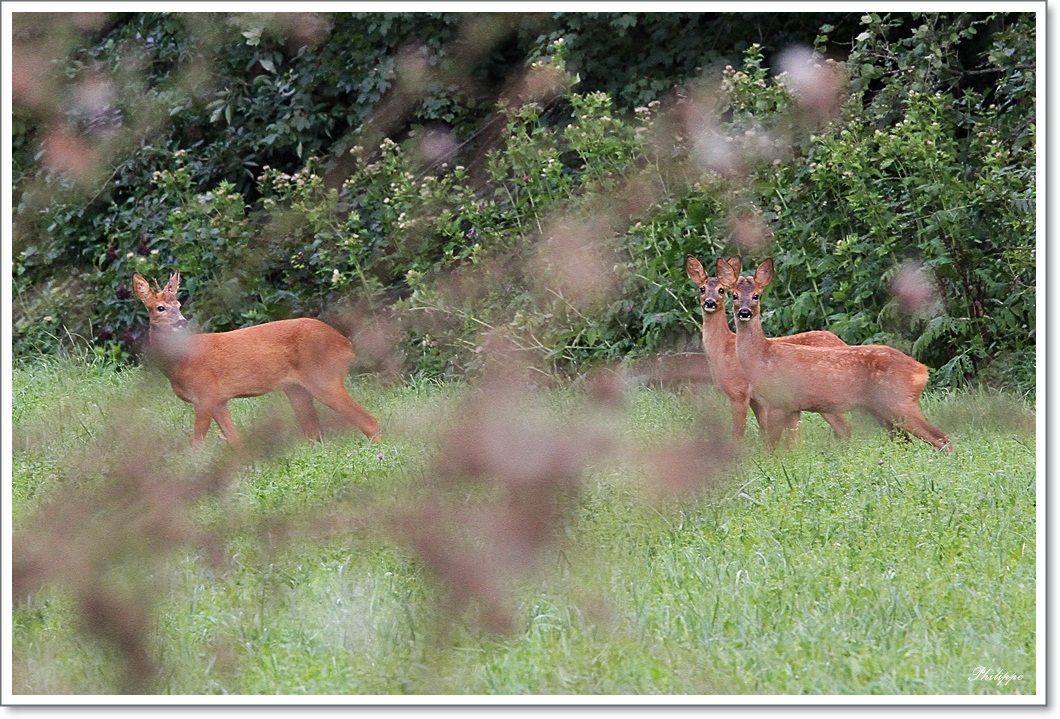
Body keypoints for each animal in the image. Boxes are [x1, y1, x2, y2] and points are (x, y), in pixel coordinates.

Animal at [130, 271, 381, 449]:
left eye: (179, 305)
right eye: (160, 308)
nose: (182, 322)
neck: (178, 363)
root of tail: (346, 343)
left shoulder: (204, 394)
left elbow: (197, 444)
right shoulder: (219, 400)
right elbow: (236, 441)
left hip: (323, 377)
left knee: (368, 421)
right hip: (296, 388)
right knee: (314, 434)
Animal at [686, 253, 852, 445]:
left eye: (721, 290)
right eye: (701, 289)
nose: (710, 302)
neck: (723, 349)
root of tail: (842, 343)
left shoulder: (739, 391)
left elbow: (738, 433)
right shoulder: (757, 399)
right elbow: (765, 428)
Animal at [720, 256, 953, 453]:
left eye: (756, 296)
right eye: (734, 295)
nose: (744, 312)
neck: (763, 357)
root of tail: (922, 370)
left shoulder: (778, 401)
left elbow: (769, 447)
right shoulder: (792, 407)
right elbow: (790, 447)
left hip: (899, 402)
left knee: (941, 438)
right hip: (884, 410)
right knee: (909, 441)